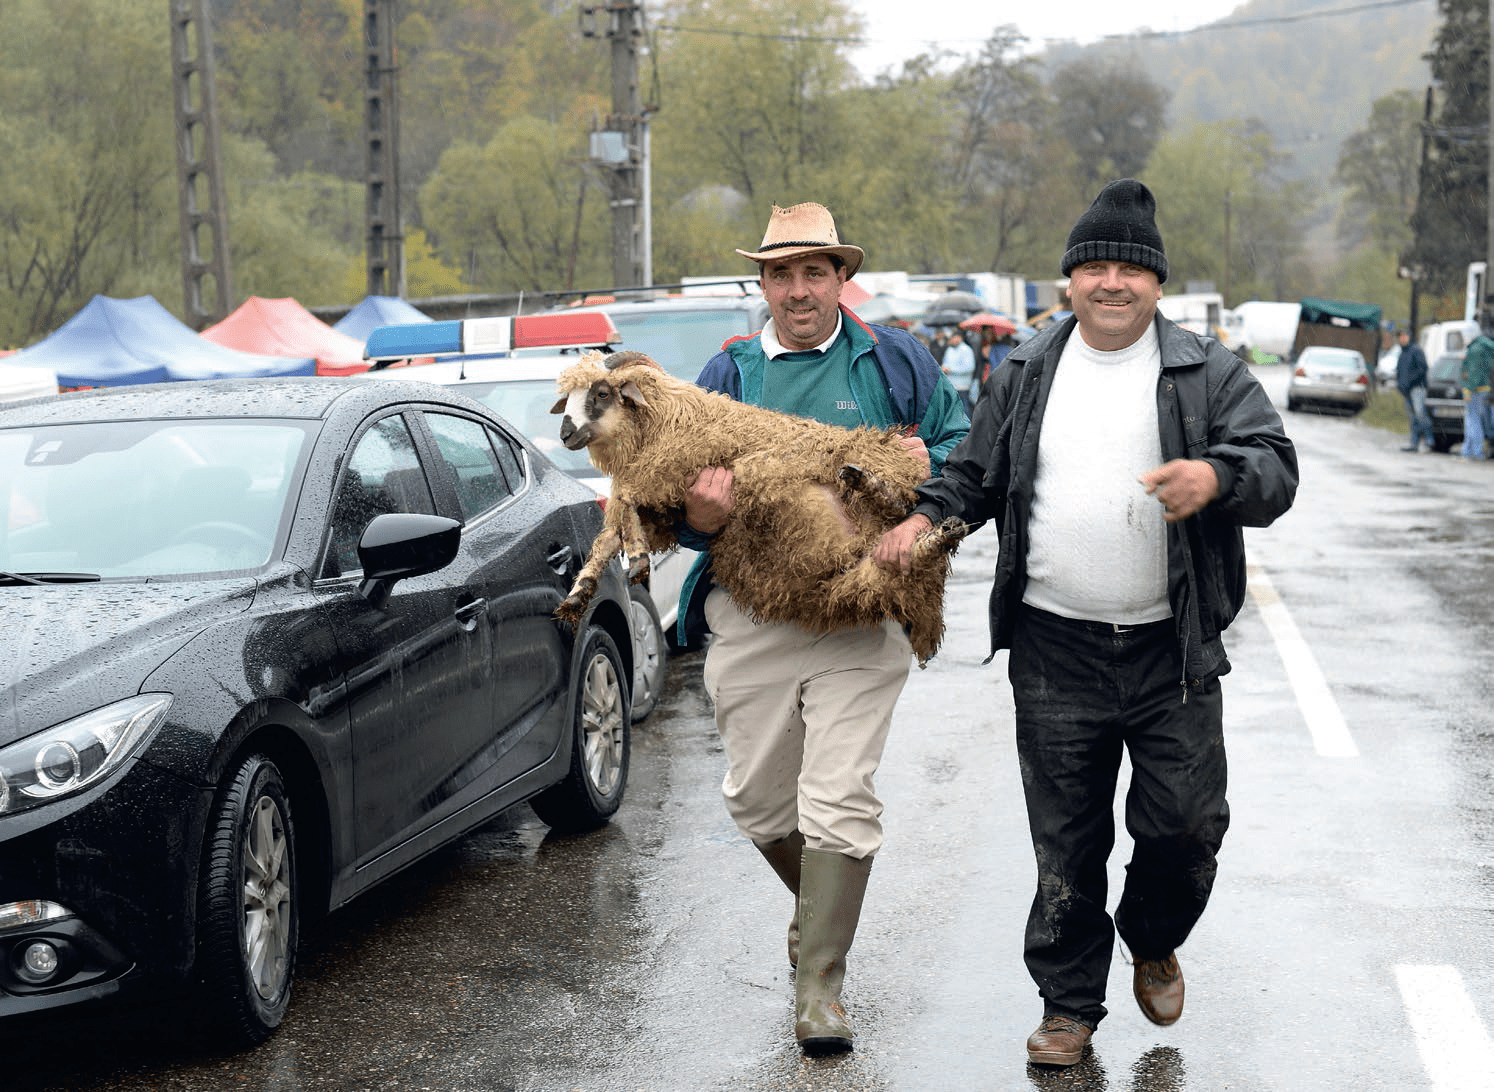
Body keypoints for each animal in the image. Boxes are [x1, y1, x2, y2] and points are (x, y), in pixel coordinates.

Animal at [549, 349, 968, 666]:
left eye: (602, 393)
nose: (565, 434)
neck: (662, 420)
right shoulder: (665, 506)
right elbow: (610, 533)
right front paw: (579, 592)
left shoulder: (671, 467)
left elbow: (625, 504)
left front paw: (636, 558)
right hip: (851, 582)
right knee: (894, 556)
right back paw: (935, 530)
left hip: (842, 464)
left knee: (905, 505)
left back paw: (874, 486)